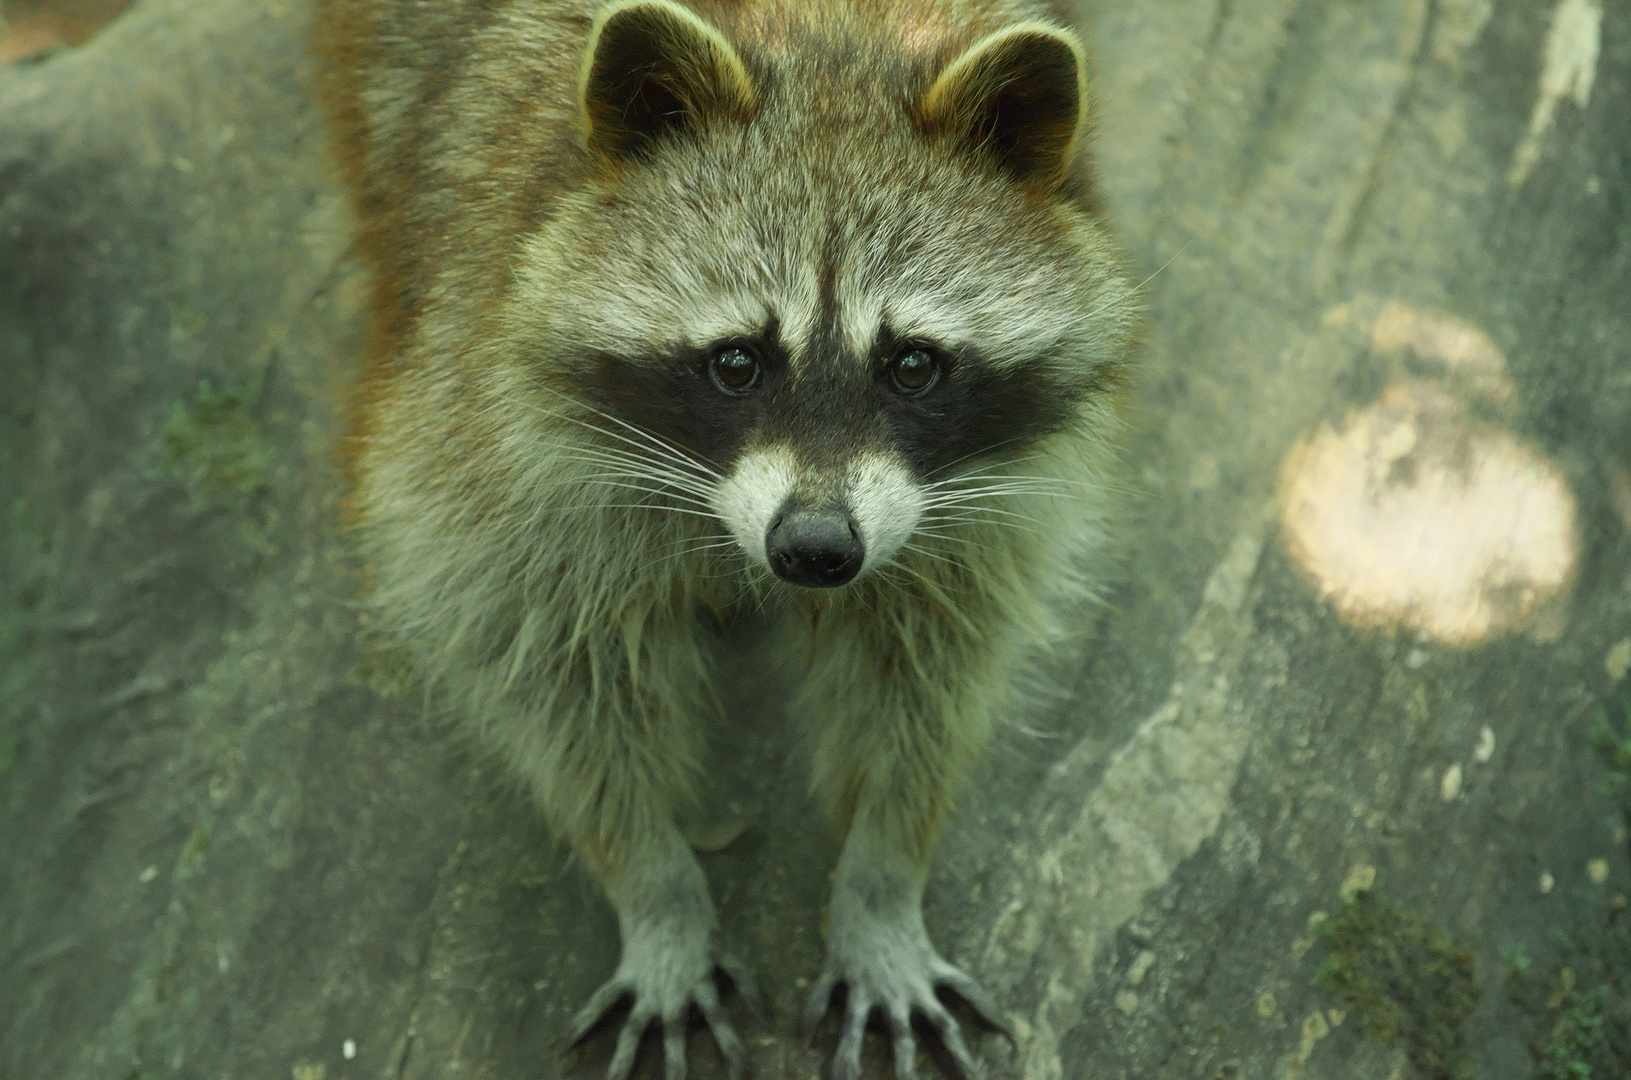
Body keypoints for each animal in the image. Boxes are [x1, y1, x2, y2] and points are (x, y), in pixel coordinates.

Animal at [314, 2, 1135, 1080]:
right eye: (736, 364)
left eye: (912, 365)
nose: (816, 551)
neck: (826, 35)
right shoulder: (478, 416)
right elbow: (558, 681)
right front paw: (653, 888)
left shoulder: (974, 503)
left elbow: (925, 676)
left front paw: (882, 880)